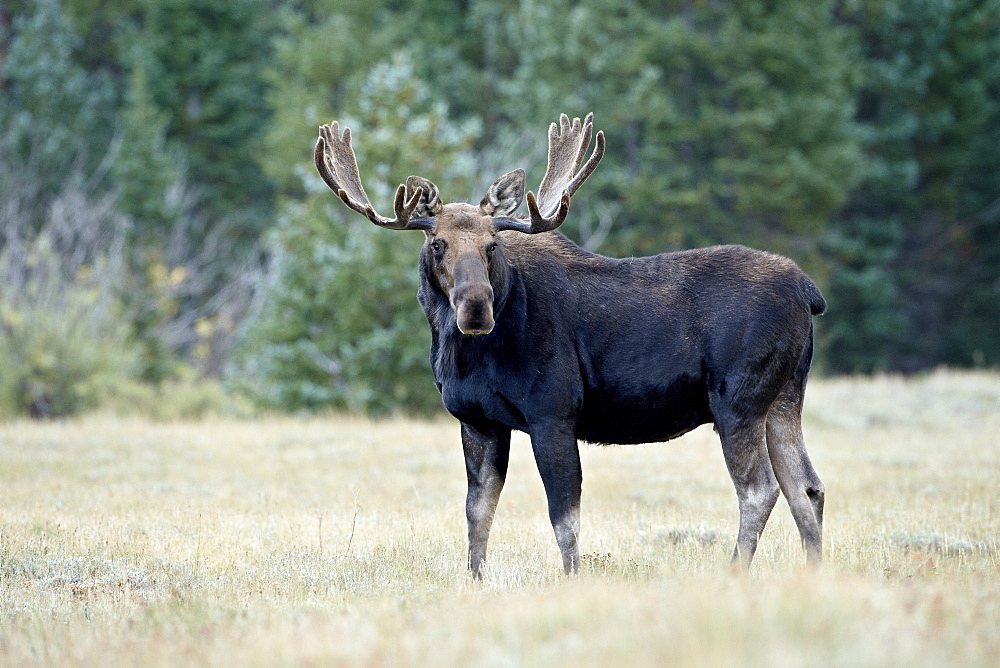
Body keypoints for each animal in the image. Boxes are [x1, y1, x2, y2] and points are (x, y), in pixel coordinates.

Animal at [314, 112, 828, 576]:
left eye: (493, 245)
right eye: (437, 243)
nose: (476, 307)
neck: (464, 357)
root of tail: (808, 291)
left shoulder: (553, 412)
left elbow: (564, 517)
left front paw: (572, 578)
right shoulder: (478, 421)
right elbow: (477, 514)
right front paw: (474, 579)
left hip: (738, 399)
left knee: (759, 489)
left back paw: (735, 571)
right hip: (784, 397)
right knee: (807, 487)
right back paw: (814, 573)